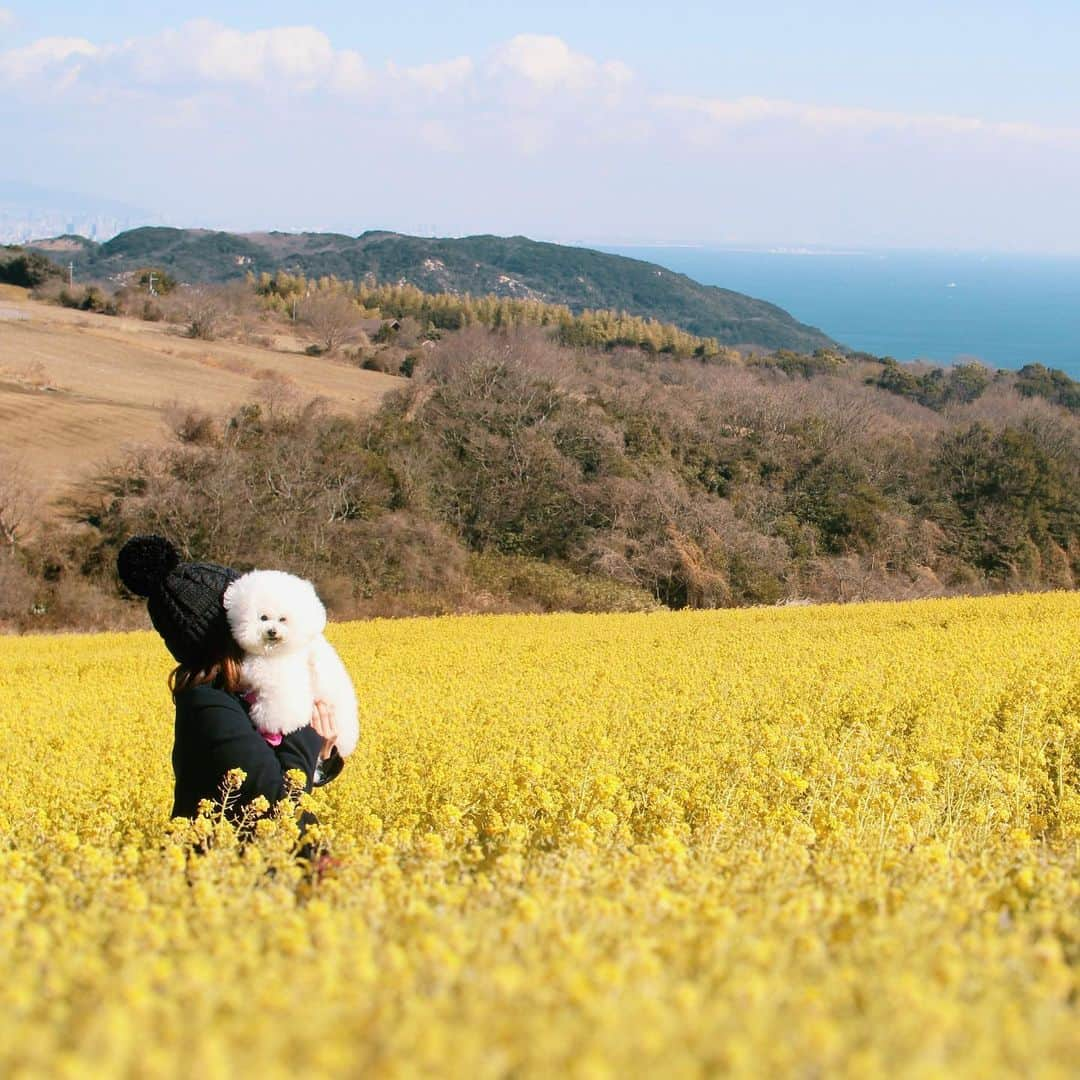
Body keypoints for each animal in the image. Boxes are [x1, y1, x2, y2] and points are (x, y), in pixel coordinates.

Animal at [222, 565, 358, 760]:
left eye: (283, 619)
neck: (273, 653)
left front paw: (270, 723)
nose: (272, 631)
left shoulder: (284, 683)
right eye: (263, 617)